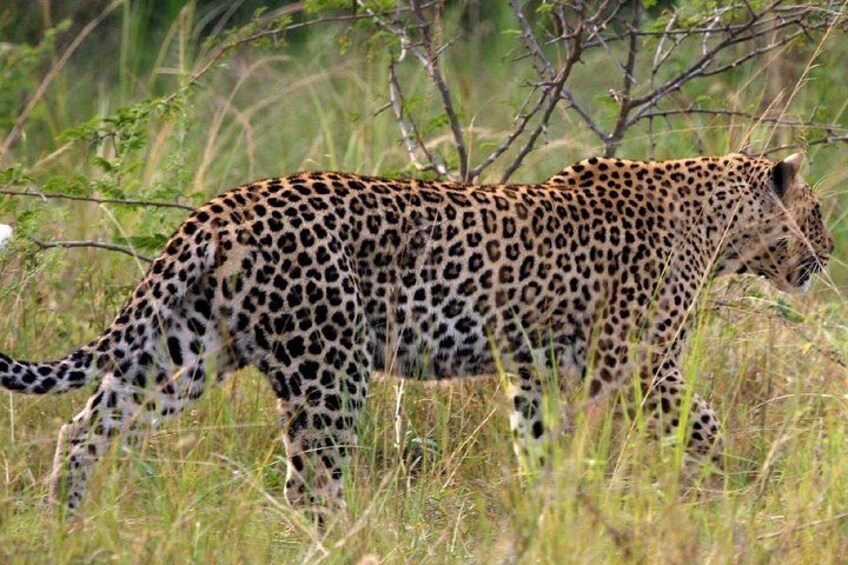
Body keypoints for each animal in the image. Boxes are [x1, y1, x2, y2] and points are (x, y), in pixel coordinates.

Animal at [0, 151, 833, 515]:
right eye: (820, 210)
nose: (827, 255)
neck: (719, 220)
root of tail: (222, 207)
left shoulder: (533, 371)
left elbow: (539, 447)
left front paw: (550, 513)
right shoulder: (638, 366)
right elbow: (705, 423)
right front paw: (739, 490)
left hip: (187, 350)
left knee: (85, 426)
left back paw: (62, 522)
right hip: (328, 363)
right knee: (311, 477)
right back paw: (337, 541)